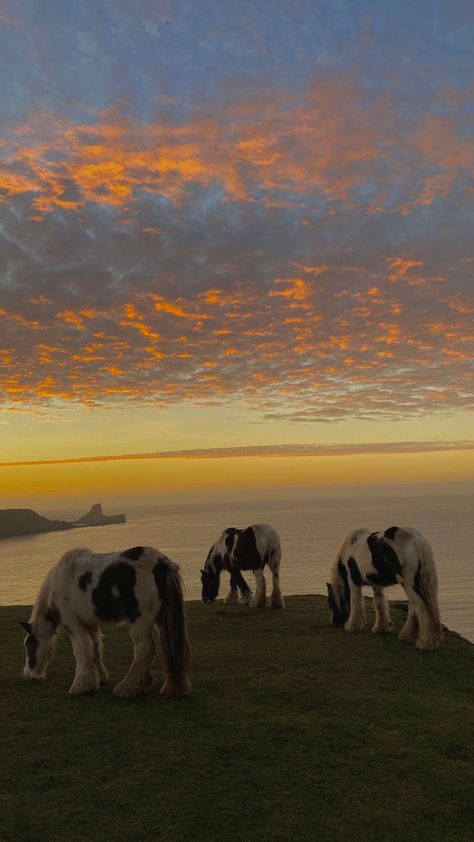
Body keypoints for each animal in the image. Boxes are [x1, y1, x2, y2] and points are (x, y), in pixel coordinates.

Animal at [18, 544, 193, 696]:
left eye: (29, 645)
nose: (28, 674)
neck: (60, 579)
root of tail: (161, 563)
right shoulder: (90, 624)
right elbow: (95, 648)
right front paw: (99, 678)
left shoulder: (74, 624)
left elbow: (82, 650)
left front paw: (80, 687)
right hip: (162, 620)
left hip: (139, 623)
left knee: (145, 648)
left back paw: (128, 688)